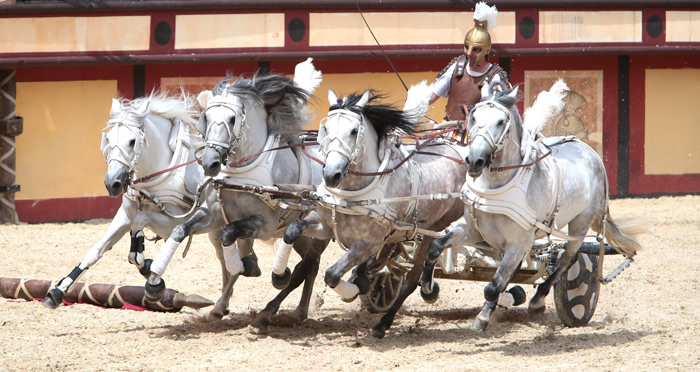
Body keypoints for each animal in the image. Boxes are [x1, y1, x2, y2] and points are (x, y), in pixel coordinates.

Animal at [42, 92, 223, 310]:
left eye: (132, 140)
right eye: (108, 138)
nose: (112, 183)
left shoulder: (174, 223)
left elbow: (139, 230)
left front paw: (153, 280)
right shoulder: (124, 215)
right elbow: (97, 251)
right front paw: (57, 291)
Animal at [142, 67, 330, 326]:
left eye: (232, 119)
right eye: (206, 117)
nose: (210, 162)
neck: (243, 177)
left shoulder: (265, 225)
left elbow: (230, 237)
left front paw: (247, 270)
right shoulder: (213, 216)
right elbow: (180, 230)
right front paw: (154, 285)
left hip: (319, 229)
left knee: (307, 265)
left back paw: (271, 307)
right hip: (303, 232)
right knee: (311, 265)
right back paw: (298, 310)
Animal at [282, 89, 468, 338]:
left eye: (353, 131)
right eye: (326, 128)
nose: (331, 174)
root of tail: (459, 150)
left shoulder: (367, 243)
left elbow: (332, 274)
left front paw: (355, 288)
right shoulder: (325, 225)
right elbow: (291, 231)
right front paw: (278, 275)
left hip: (433, 226)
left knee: (416, 272)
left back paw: (390, 317)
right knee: (396, 254)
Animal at [422, 83, 644, 330]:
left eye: (501, 121)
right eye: (473, 116)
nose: (474, 161)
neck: (498, 187)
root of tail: (588, 150)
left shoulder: (518, 242)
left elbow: (492, 287)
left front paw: (484, 316)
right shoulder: (472, 231)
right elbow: (436, 247)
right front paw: (428, 289)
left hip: (580, 223)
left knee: (567, 259)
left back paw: (538, 300)